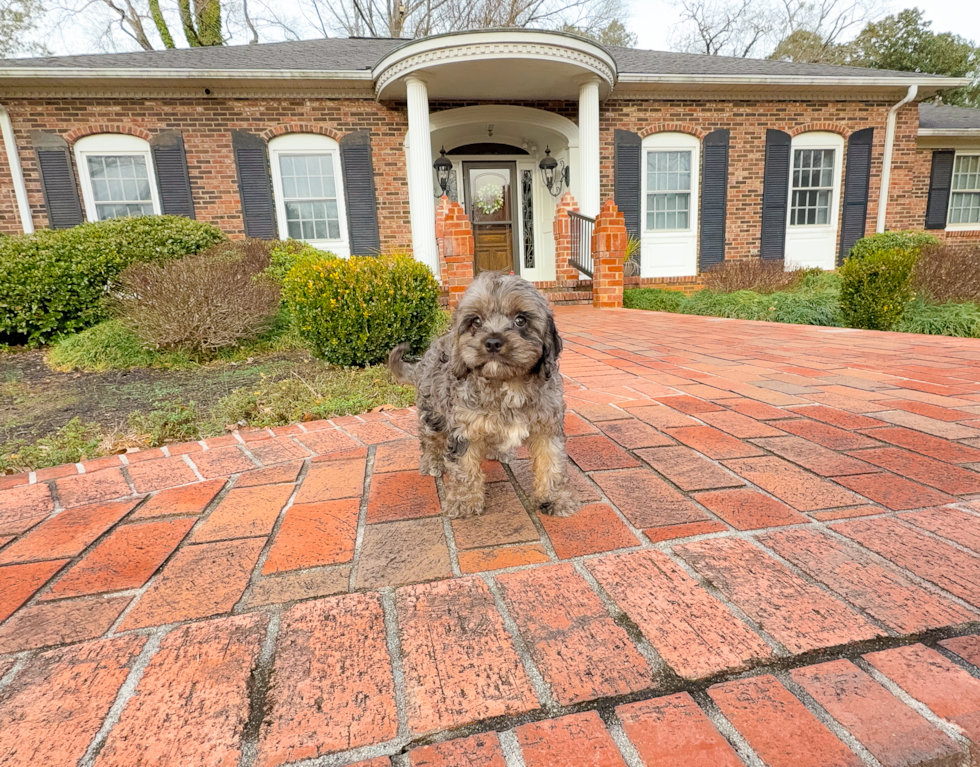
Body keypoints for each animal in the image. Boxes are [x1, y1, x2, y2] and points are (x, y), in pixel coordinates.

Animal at [386, 272, 580, 520]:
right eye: (476, 321)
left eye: (520, 320)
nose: (493, 342)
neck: (507, 384)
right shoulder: (463, 428)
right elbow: (464, 467)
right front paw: (464, 501)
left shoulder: (548, 425)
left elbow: (552, 462)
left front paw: (555, 499)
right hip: (433, 411)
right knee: (429, 438)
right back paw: (432, 462)